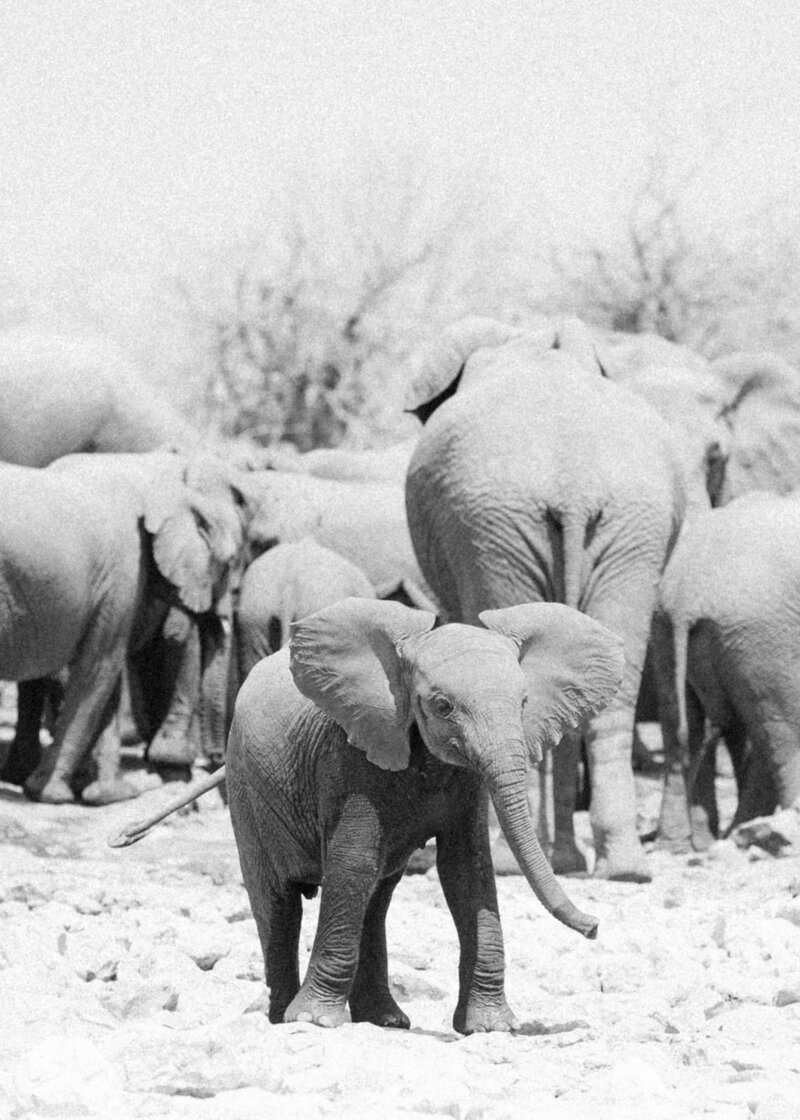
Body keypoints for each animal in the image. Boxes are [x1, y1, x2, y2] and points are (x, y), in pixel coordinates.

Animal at [0, 450, 247, 801]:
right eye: (230, 563)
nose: (214, 760)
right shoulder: (124, 572)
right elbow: (99, 668)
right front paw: (54, 794)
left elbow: (108, 677)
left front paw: (107, 794)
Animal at [113, 600, 622, 1034]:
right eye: (442, 706)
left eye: (523, 704)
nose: (595, 927)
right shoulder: (350, 753)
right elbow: (352, 861)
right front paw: (314, 1021)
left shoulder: (465, 782)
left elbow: (467, 869)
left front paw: (491, 1028)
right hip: (246, 790)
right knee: (278, 899)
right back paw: (283, 1018)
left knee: (374, 897)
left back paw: (386, 1021)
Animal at [407, 318, 681, 882]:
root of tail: (574, 485)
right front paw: (568, 861)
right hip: (623, 527)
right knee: (610, 696)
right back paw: (623, 867)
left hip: (495, 528)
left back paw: (510, 864)